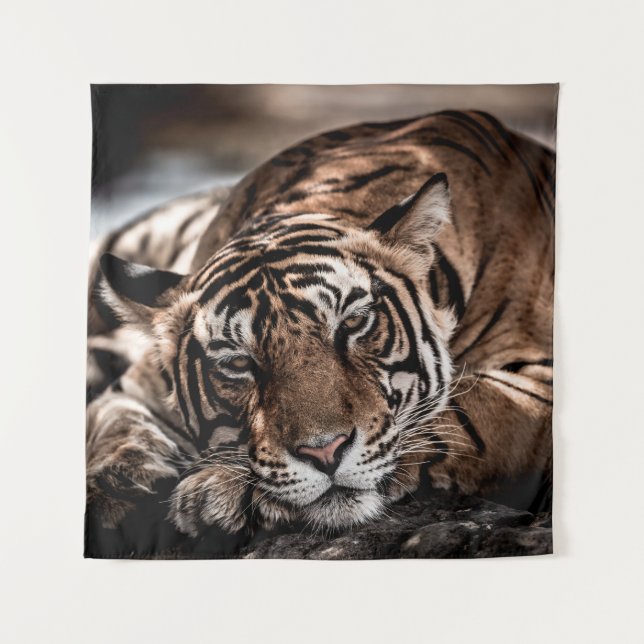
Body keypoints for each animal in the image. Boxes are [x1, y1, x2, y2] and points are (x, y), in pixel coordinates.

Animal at [86, 110, 555, 542]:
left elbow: (460, 413)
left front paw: (217, 489)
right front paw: (116, 488)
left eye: (354, 322)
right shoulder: (135, 387)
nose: (325, 452)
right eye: (238, 364)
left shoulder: (539, 380)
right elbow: (117, 429)